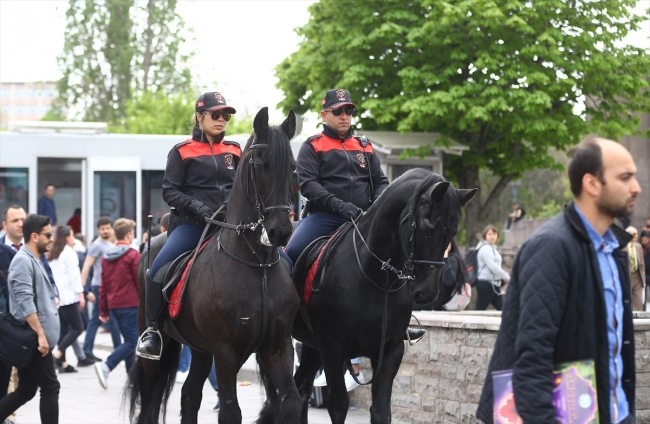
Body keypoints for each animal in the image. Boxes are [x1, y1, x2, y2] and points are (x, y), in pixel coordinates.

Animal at [127, 107, 304, 422]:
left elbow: (292, 404)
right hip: (159, 346)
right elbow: (231, 411)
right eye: (261, 164)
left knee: (189, 394)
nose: (281, 231)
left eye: (293, 168)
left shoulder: (278, 346)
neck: (257, 265)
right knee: (149, 398)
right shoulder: (225, 351)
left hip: (200, 349)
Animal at [260, 167, 474, 422]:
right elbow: (339, 405)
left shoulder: (391, 350)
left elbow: (381, 410)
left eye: (452, 232)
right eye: (426, 225)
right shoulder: (333, 348)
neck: (376, 279)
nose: (427, 292)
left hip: (311, 346)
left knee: (301, 388)